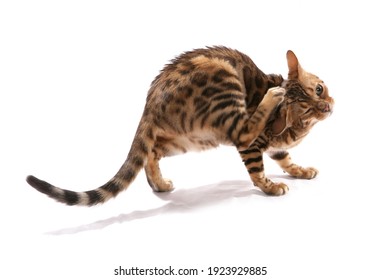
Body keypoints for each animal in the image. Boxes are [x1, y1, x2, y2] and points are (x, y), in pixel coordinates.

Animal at [26, 46, 334, 206]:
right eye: (308, 107)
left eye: (320, 90)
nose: (328, 106)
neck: (296, 128)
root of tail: (150, 101)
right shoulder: (253, 145)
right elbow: (258, 170)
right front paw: (271, 187)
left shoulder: (275, 147)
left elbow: (286, 159)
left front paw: (301, 171)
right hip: (223, 83)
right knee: (243, 126)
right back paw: (272, 95)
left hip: (188, 139)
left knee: (150, 152)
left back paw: (160, 184)